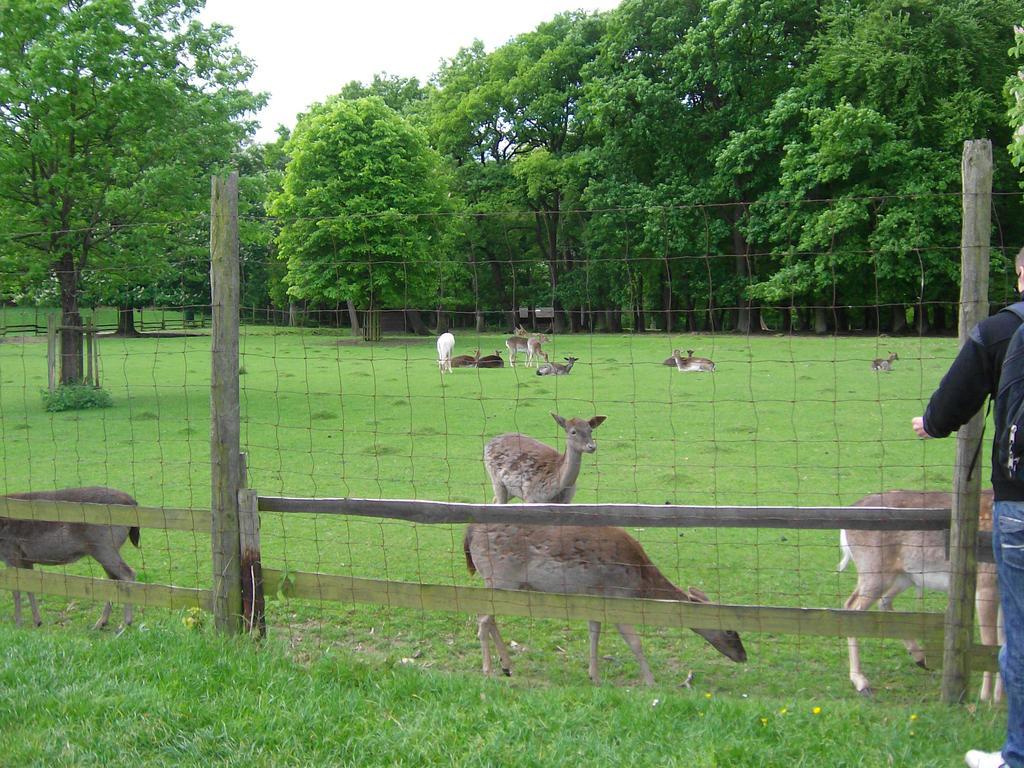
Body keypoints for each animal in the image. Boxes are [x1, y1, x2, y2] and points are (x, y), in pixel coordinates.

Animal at [1, 487, 141, 630]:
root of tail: (133, 502)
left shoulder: (10, 552)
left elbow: (16, 589)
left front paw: (18, 623)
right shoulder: (25, 559)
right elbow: (29, 587)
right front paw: (37, 621)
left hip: (104, 546)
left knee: (128, 574)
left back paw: (126, 622)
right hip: (105, 550)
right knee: (114, 579)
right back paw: (101, 622)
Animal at [464, 524, 745, 684]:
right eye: (730, 629)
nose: (743, 656)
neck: (640, 581)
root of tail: (468, 534)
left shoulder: (595, 596)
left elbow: (594, 631)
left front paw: (594, 676)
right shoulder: (617, 594)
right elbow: (635, 641)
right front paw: (651, 681)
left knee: (489, 617)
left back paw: (508, 666)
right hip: (500, 576)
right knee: (482, 616)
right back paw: (488, 670)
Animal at [839, 489, 999, 700]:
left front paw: (999, 697)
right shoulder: (986, 583)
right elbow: (992, 640)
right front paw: (987, 698)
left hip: (901, 575)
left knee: (880, 602)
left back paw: (921, 658)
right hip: (873, 568)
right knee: (851, 607)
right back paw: (861, 682)